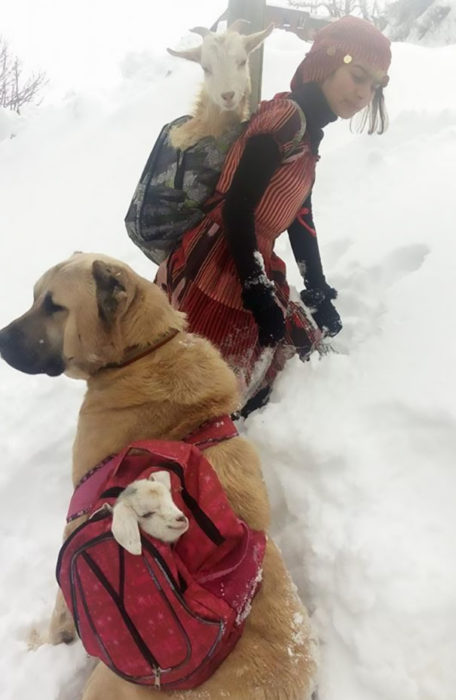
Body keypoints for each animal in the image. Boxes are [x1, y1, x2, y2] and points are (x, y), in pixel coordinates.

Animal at [0, 253, 318, 700]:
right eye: (33, 297)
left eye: (53, 306)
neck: (143, 351)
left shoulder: (77, 523)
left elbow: (60, 612)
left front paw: (40, 645)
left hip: (108, 682)